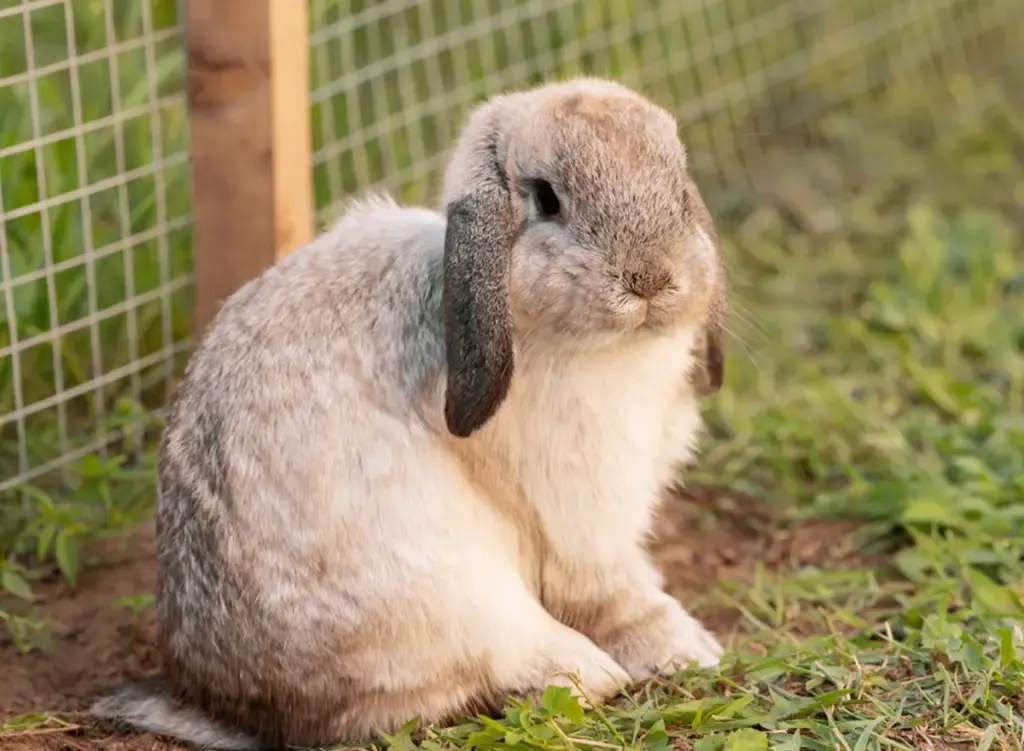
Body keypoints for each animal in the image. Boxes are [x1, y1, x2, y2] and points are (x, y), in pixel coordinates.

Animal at [88, 77, 729, 749]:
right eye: (547, 199)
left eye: (680, 183)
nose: (650, 279)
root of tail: (233, 705)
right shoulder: (584, 516)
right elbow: (615, 594)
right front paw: (686, 648)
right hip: (462, 597)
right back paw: (587, 671)